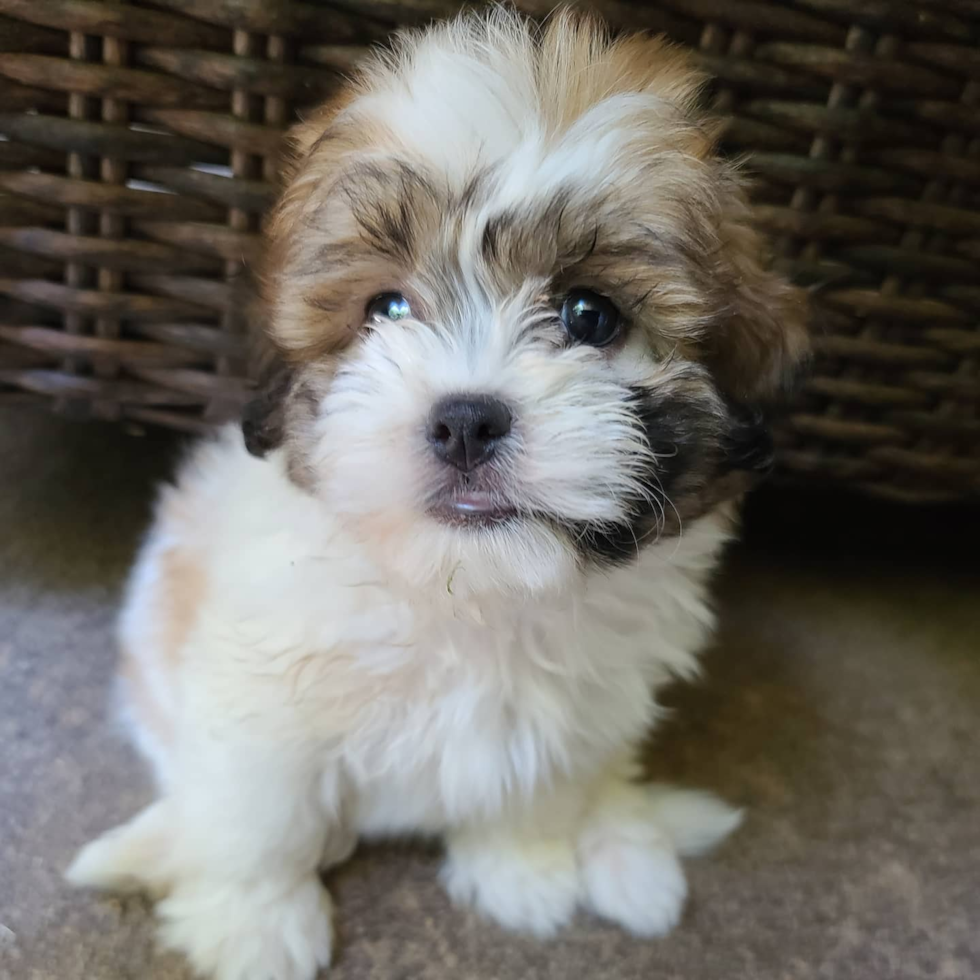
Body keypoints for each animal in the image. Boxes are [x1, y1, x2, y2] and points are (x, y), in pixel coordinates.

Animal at [67, 9, 804, 980]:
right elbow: (259, 814)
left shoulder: (564, 723)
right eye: (386, 309)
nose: (465, 421)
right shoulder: (256, 700)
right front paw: (254, 922)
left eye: (590, 316)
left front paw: (521, 872)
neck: (467, 589)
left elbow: (531, 792)